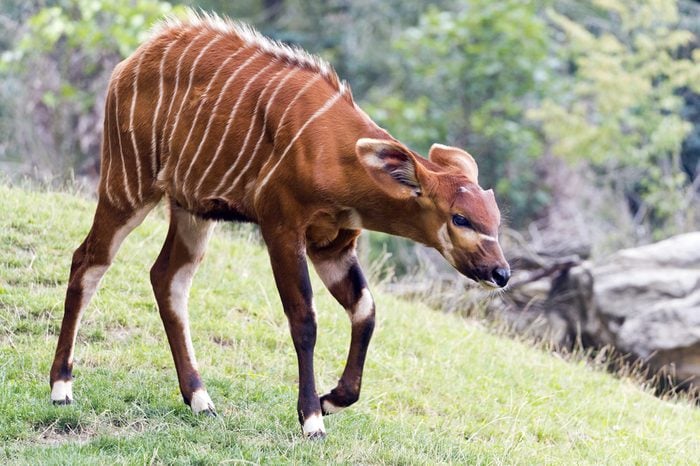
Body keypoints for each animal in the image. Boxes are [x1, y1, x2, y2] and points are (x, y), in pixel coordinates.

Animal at [47, 12, 508, 438]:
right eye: (460, 217)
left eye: (496, 219)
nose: (500, 273)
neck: (337, 153)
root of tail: (131, 61)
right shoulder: (282, 227)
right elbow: (304, 319)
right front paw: (311, 419)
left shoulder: (334, 245)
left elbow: (365, 310)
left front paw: (332, 400)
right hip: (127, 185)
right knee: (89, 260)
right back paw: (61, 388)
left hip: (191, 208)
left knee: (167, 277)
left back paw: (200, 399)